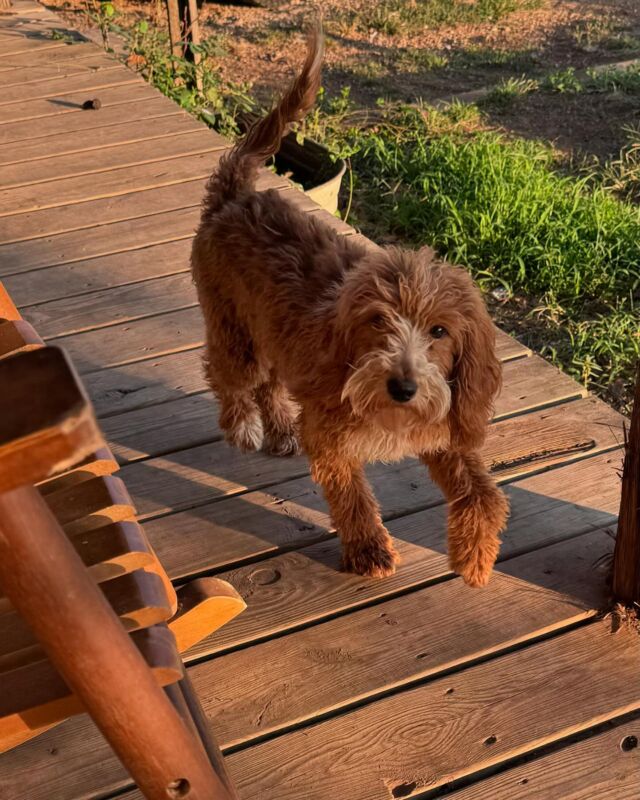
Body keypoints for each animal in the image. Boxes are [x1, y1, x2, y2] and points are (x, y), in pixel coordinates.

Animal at [190, 23, 510, 588]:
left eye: (440, 332)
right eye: (378, 321)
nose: (403, 388)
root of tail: (235, 196)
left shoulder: (444, 432)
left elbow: (483, 494)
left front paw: (476, 555)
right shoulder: (331, 434)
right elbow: (352, 496)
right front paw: (369, 550)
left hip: (268, 332)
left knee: (270, 382)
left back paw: (279, 429)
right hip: (232, 329)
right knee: (229, 378)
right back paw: (244, 424)